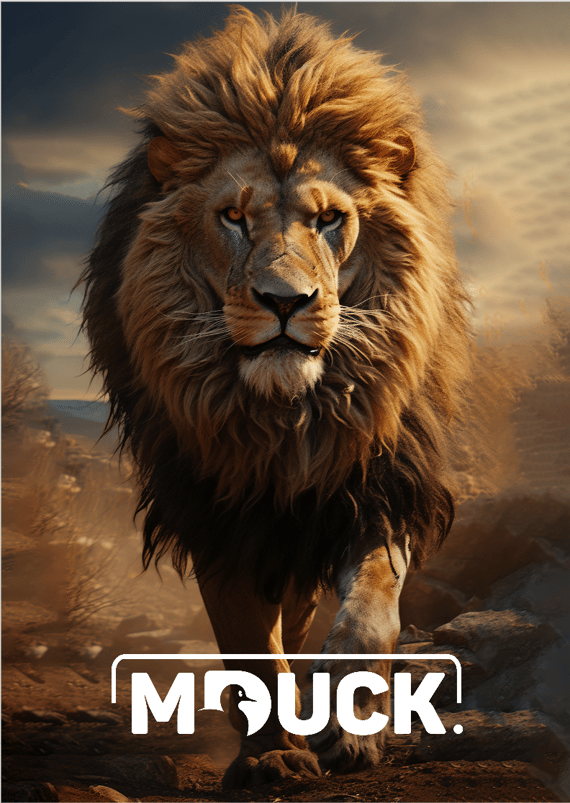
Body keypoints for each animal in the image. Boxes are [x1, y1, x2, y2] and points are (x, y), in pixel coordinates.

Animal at [80, 7, 471, 789]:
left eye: (329, 220)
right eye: (233, 216)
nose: (285, 302)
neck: (287, 420)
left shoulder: (373, 483)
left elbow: (369, 610)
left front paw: (345, 724)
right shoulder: (218, 509)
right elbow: (248, 646)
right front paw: (270, 755)